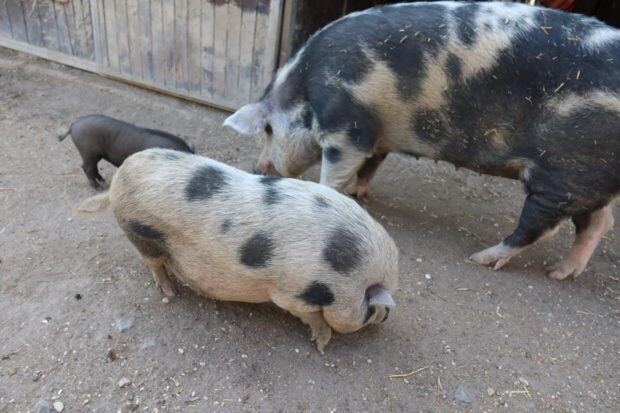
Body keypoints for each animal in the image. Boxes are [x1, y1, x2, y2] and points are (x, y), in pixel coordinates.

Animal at [58, 114, 194, 188]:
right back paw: (98, 188)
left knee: (92, 168)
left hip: (93, 154)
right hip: (88, 152)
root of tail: (74, 125)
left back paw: (103, 180)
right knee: (87, 168)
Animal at [78, 148, 398, 350]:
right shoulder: (291, 295)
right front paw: (322, 344)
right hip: (138, 231)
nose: (387, 317)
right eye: (373, 308)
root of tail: (117, 182)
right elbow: (313, 317)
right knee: (154, 264)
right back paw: (170, 292)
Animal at [225, 1, 616, 278]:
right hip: (587, 177)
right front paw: (360, 193)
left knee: (540, 225)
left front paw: (336, 193)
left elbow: (336, 171)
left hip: (563, 168)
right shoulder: (377, 135)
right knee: (598, 223)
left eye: (267, 131)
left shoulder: (347, 126)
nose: (259, 166)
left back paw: (482, 258)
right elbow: (371, 165)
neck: (306, 86)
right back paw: (560, 274)